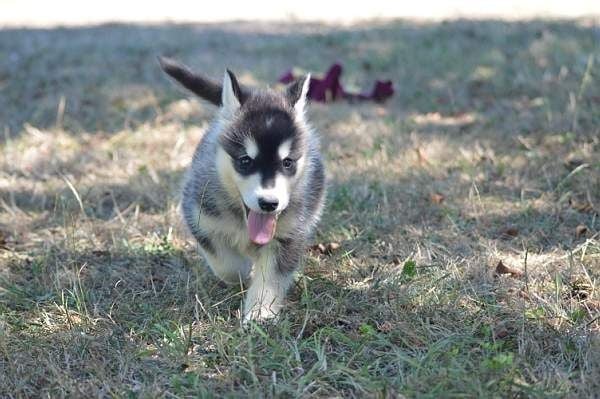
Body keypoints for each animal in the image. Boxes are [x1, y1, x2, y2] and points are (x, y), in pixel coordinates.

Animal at [159, 57, 326, 324]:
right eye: (245, 161)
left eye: (287, 162)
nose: (269, 203)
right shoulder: (200, 217)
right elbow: (226, 265)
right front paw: (243, 274)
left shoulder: (289, 234)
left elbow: (271, 278)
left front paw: (260, 313)